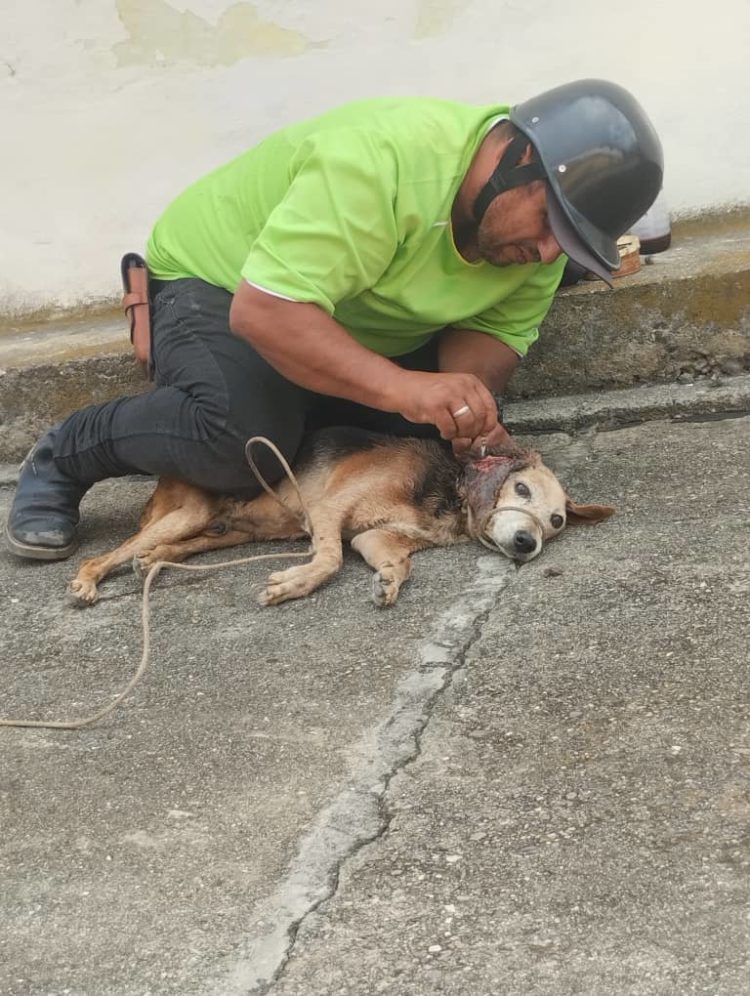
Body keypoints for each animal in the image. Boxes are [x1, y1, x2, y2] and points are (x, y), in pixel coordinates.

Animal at [67, 428, 612, 608]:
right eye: (520, 490)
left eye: (556, 522)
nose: (527, 543)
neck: (449, 497)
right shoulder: (326, 513)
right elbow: (328, 558)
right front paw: (292, 584)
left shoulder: (373, 538)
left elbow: (395, 561)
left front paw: (389, 580)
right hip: (190, 510)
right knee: (102, 556)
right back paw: (88, 581)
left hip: (219, 531)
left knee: (172, 548)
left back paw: (154, 562)